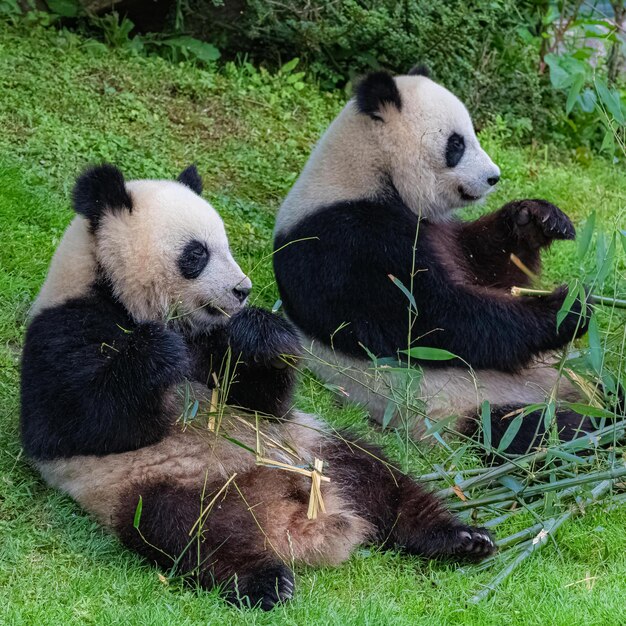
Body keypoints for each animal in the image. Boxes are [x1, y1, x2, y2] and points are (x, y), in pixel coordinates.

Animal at [19, 161, 494, 608]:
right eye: (197, 254)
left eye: (226, 245)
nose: (242, 290)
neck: (115, 292)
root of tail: (290, 519)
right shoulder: (65, 328)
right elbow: (69, 424)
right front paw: (158, 352)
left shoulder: (213, 338)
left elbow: (260, 398)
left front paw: (261, 335)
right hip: (153, 485)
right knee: (187, 532)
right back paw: (265, 580)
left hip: (313, 448)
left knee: (380, 475)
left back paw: (461, 538)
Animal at [270, 68, 588, 450]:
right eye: (456, 144)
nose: (493, 177)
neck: (369, 171)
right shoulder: (342, 245)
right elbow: (435, 320)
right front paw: (567, 307)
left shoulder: (440, 230)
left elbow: (489, 268)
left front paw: (536, 218)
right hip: (464, 408)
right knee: (543, 432)